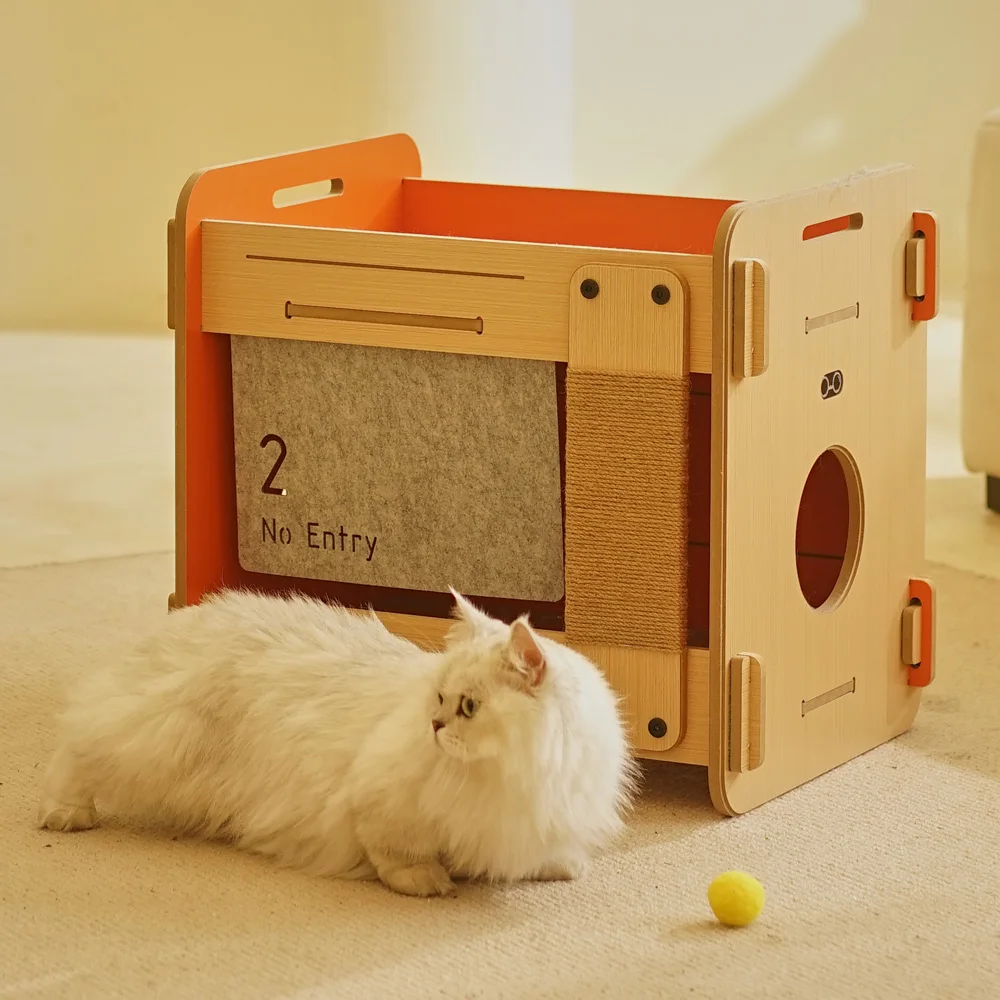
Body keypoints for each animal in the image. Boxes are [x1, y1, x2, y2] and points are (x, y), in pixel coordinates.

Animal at [38, 588, 637, 896]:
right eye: (441, 699)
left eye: (467, 707)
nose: (435, 726)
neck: (521, 776)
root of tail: (189, 611)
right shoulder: (379, 803)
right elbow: (400, 857)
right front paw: (430, 882)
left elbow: (548, 856)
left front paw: (562, 867)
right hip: (150, 739)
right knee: (74, 750)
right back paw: (65, 814)